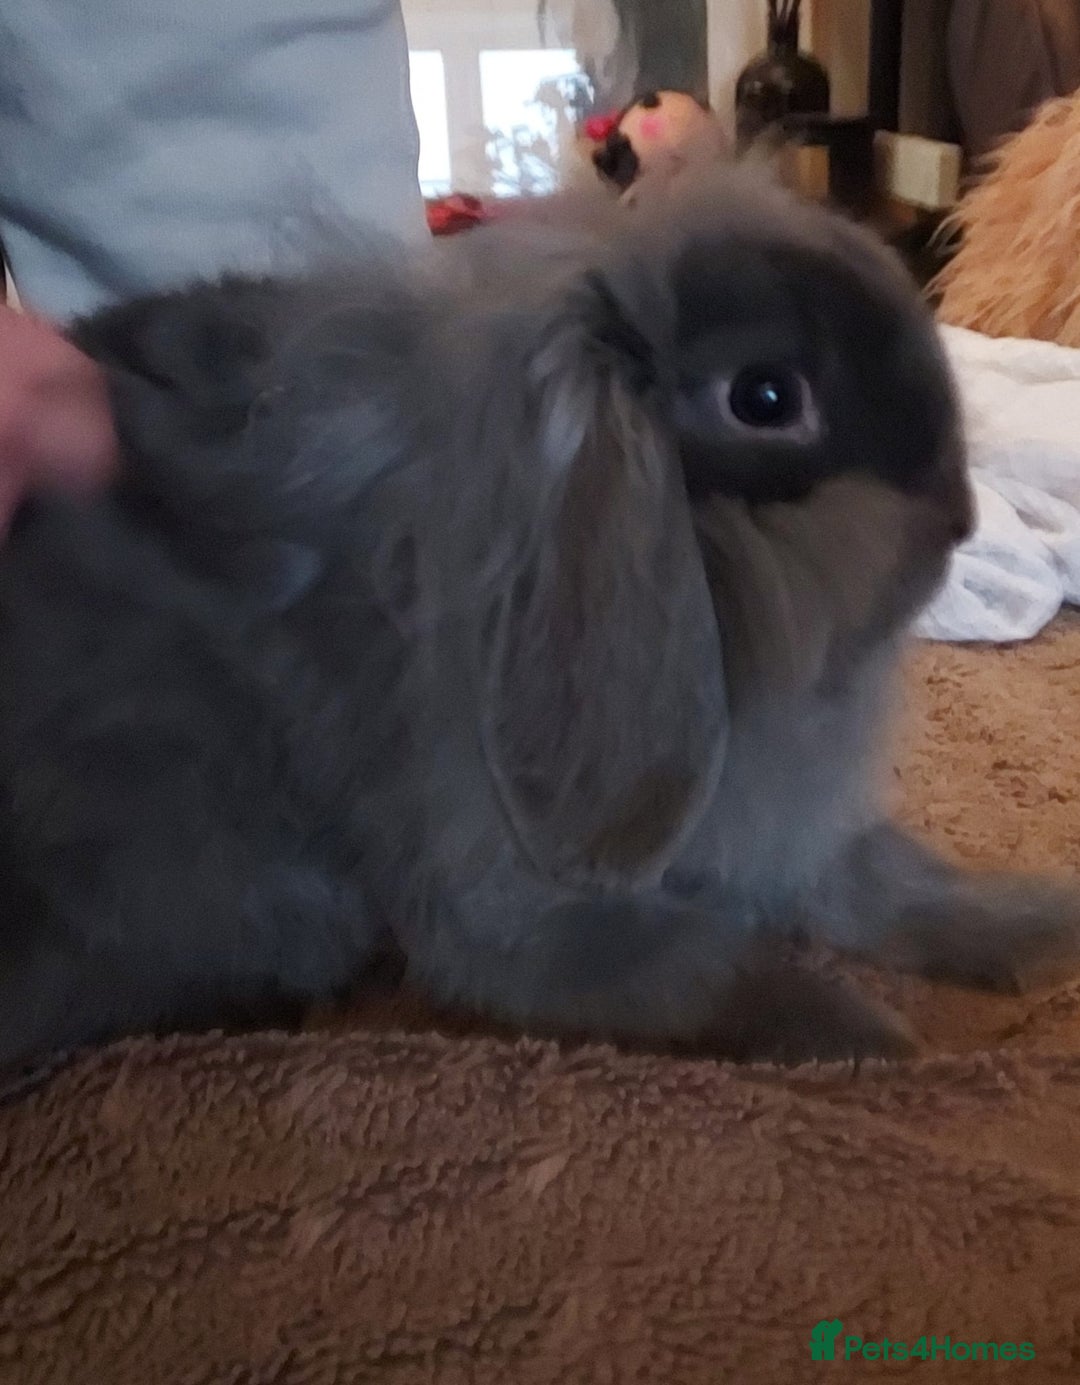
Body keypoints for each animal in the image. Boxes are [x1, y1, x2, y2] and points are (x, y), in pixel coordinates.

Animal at [0, 165, 1078, 1076]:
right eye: (766, 396)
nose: (958, 519)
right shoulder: (518, 900)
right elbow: (699, 966)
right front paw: (868, 1039)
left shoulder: (783, 836)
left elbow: (891, 884)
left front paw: (1044, 925)